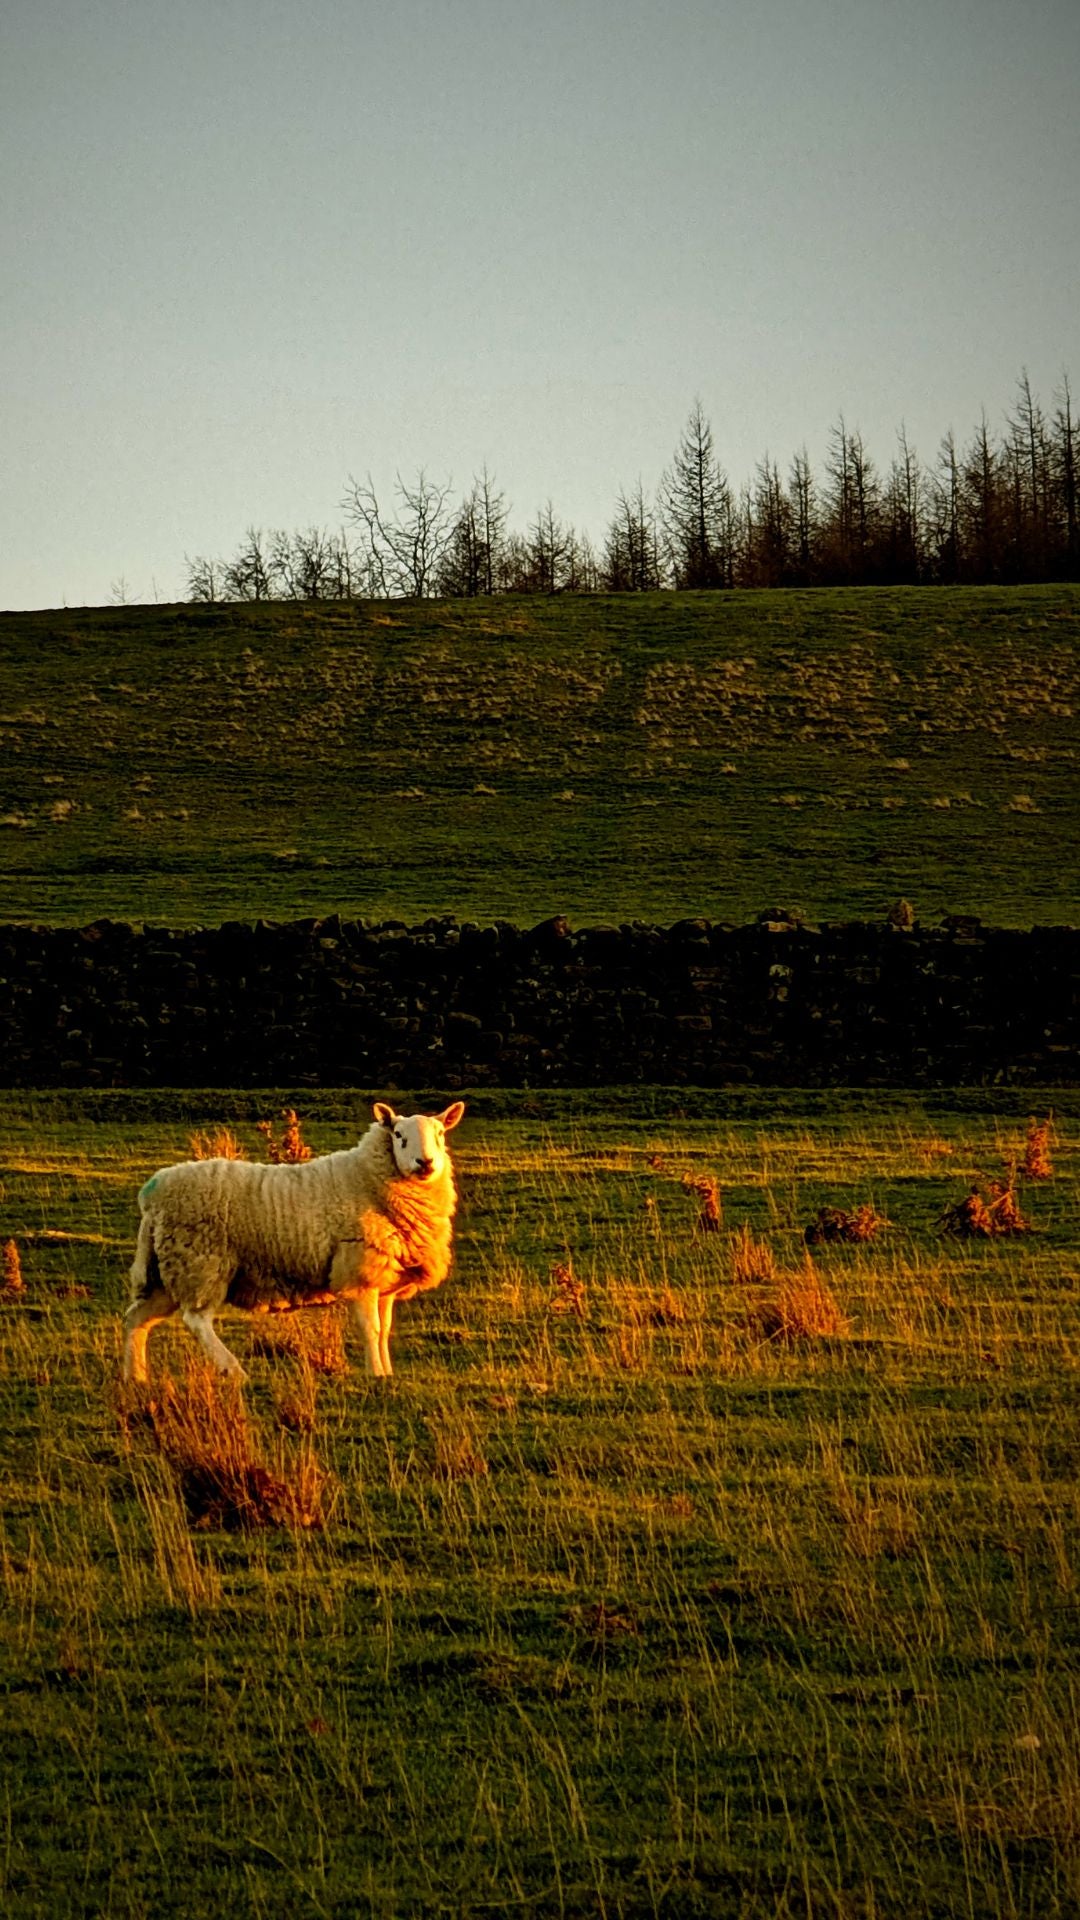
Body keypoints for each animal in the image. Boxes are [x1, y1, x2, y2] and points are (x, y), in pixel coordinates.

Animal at [122, 1101, 465, 1384]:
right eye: (398, 1135)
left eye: (440, 1134)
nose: (425, 1162)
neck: (369, 1182)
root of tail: (152, 1194)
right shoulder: (358, 1271)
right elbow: (371, 1330)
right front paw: (376, 1375)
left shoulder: (385, 1279)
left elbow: (385, 1331)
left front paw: (386, 1372)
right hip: (201, 1261)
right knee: (196, 1320)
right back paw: (233, 1370)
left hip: (169, 1271)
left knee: (136, 1318)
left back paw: (135, 1377)